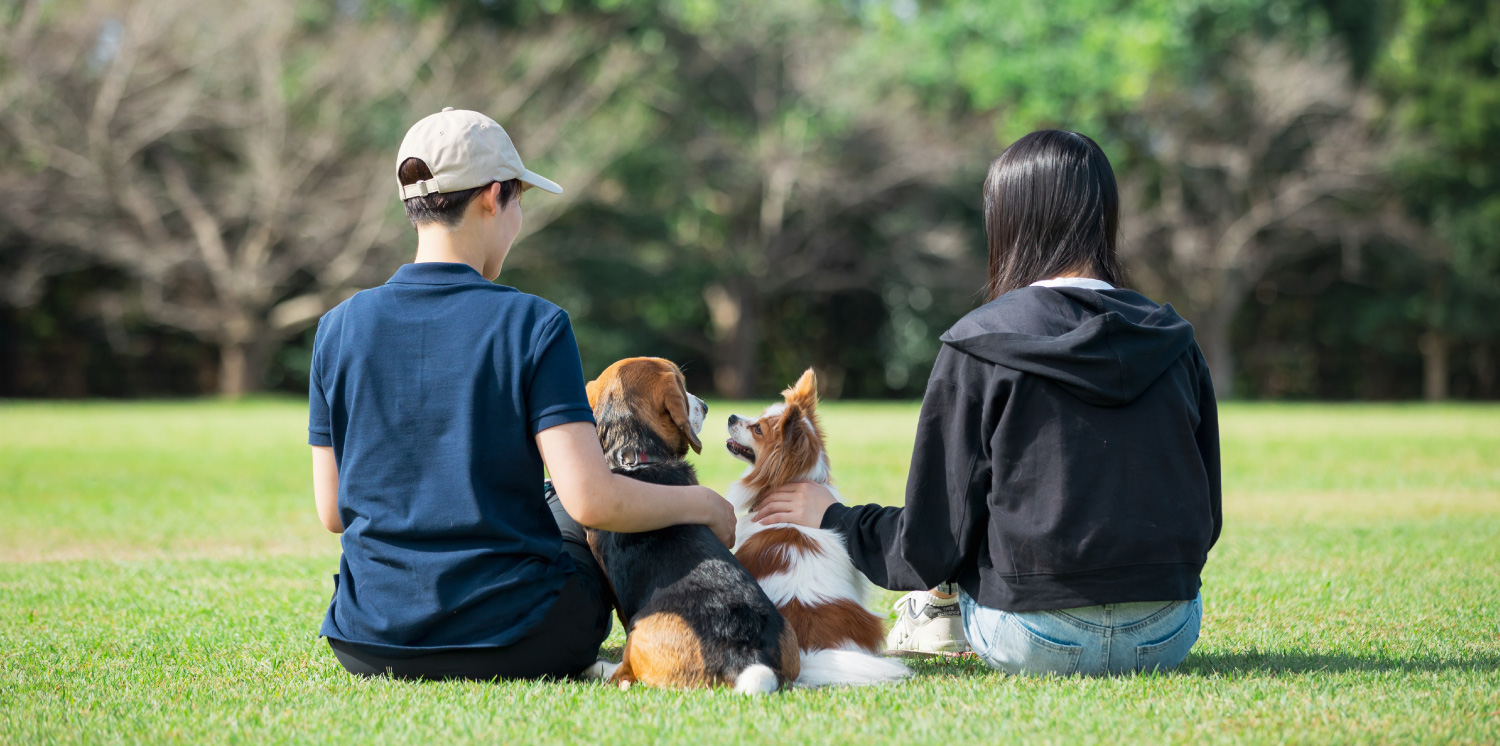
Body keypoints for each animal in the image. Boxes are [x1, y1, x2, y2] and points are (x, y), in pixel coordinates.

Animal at [579, 354, 804, 693]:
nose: (707, 406)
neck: (635, 454)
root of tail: (745, 654)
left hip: (638, 632)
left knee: (624, 676)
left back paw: (599, 668)